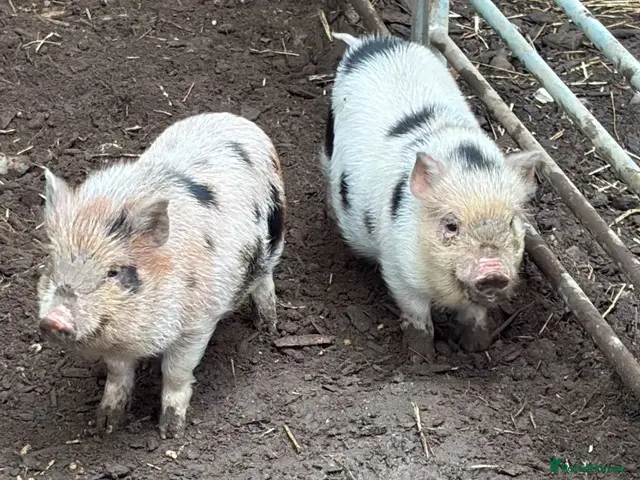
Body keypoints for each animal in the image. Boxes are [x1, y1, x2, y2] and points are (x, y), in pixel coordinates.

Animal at [37, 112, 285, 438]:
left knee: (265, 281)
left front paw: (170, 431)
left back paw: (267, 327)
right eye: (53, 265)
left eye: (113, 272)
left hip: (274, 236)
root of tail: (237, 119)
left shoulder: (198, 323)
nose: (54, 319)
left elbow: (176, 372)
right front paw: (106, 424)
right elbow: (118, 373)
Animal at [321, 33, 541, 362]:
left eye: (511, 223)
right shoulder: (397, 265)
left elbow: (476, 313)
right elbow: (416, 314)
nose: (492, 272)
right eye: (451, 225)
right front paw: (421, 359)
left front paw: (478, 347)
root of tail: (372, 43)